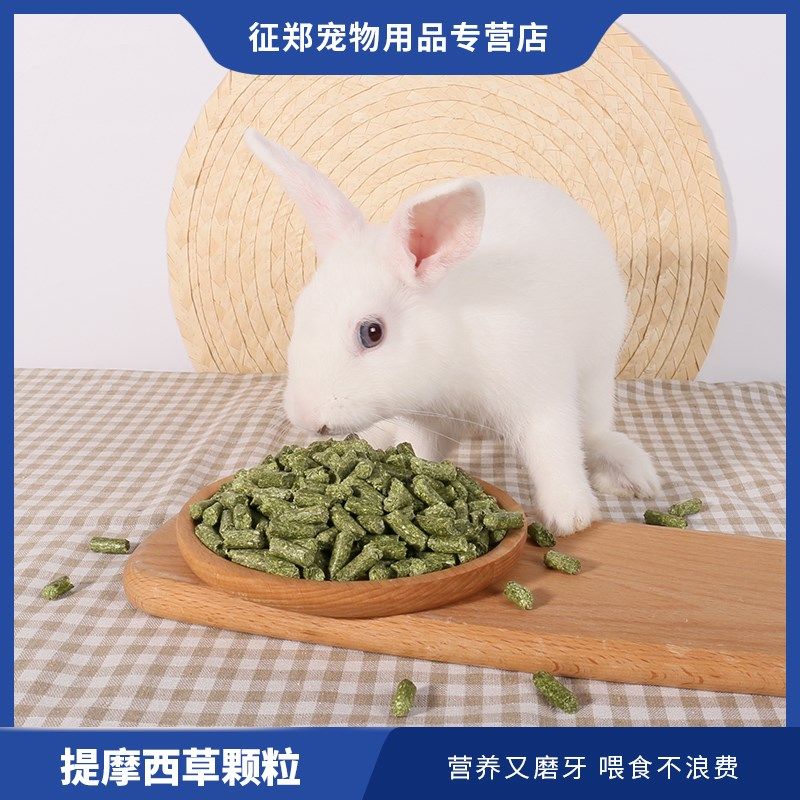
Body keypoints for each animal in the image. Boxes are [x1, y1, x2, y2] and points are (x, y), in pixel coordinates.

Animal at [246, 129, 660, 535]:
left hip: (597, 377)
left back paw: (627, 473)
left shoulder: (540, 398)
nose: (306, 418)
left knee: (592, 432)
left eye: (372, 332)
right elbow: (419, 452)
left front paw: (570, 516)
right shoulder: (426, 424)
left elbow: (554, 451)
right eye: (300, 312)